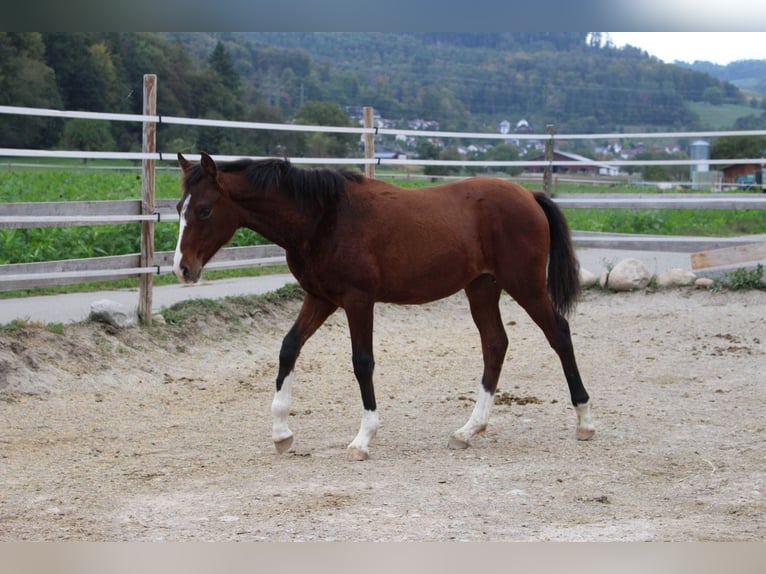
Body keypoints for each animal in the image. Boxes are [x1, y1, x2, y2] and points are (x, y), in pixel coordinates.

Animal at [176, 153, 600, 464]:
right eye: (179, 207)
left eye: (204, 210)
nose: (183, 268)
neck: (324, 218)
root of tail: (529, 196)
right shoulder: (321, 298)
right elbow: (288, 348)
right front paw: (282, 433)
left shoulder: (357, 300)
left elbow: (362, 362)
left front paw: (363, 439)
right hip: (482, 288)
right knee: (495, 344)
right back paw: (468, 431)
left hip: (524, 285)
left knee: (558, 333)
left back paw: (585, 421)